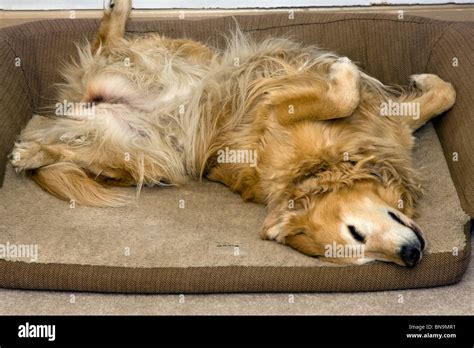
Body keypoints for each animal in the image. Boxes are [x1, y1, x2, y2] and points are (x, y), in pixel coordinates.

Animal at [10, 0, 456, 266]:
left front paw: (425, 82)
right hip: (143, 150)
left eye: (371, 256)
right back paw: (27, 154)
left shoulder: (390, 128)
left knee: (104, 50)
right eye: (358, 240)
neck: (324, 163)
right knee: (97, 61)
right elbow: (343, 96)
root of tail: (78, 105)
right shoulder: (275, 107)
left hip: (154, 105)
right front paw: (343, 72)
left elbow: (440, 96)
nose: (413, 255)